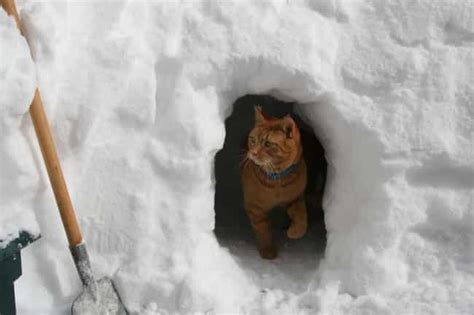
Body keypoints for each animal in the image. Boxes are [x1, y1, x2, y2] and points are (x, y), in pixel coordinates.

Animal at [241, 106, 308, 260]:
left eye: (268, 144)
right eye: (252, 140)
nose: (252, 153)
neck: (276, 181)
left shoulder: (296, 198)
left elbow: (302, 216)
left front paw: (295, 232)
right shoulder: (255, 207)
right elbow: (263, 230)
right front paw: (267, 250)